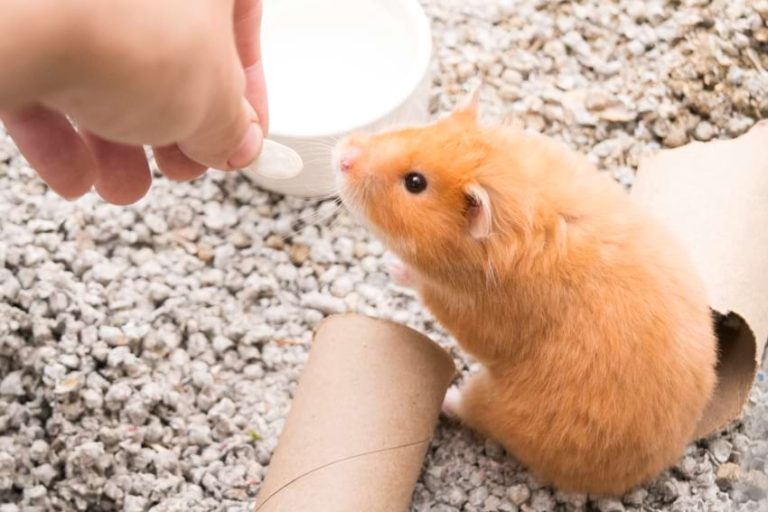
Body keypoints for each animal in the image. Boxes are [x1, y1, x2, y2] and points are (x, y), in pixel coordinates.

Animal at [332, 89, 717, 496]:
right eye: (425, 128)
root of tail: (643, 474)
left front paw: (393, 269)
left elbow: (423, 286)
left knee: (470, 409)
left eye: (415, 183)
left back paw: (448, 395)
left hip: (500, 405)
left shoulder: (466, 311)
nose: (342, 155)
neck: (518, 201)